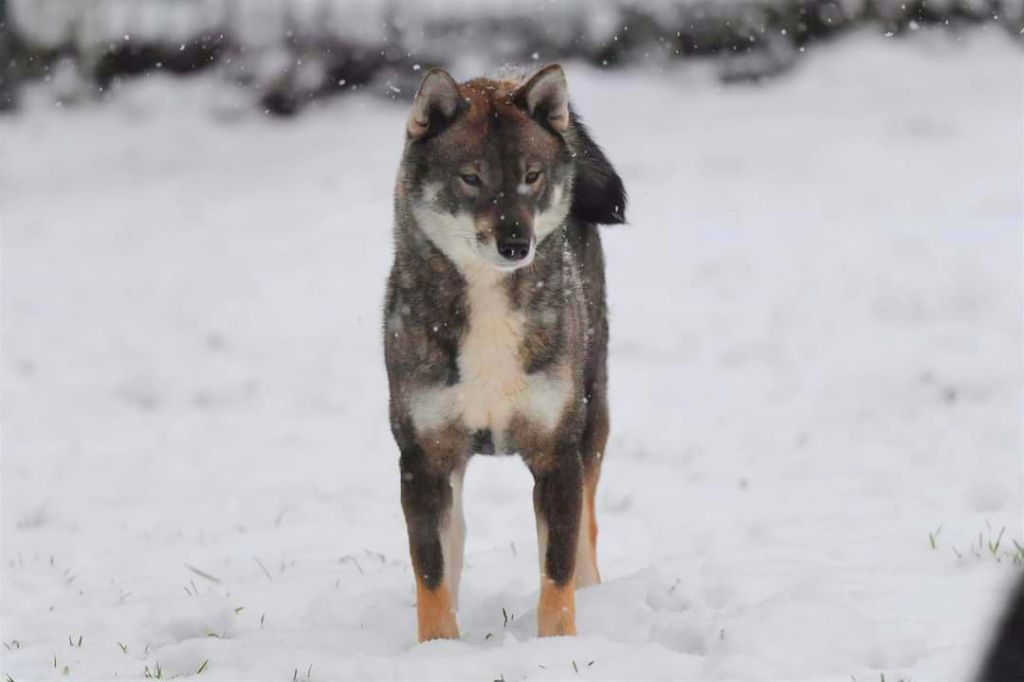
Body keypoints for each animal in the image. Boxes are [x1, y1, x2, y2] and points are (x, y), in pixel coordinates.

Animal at [382, 62, 622, 638]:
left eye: (531, 176)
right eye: (471, 178)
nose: (517, 244)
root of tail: (499, 78)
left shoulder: (557, 454)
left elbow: (557, 574)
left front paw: (557, 646)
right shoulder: (422, 459)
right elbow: (431, 576)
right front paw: (437, 648)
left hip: (593, 414)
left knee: (587, 528)